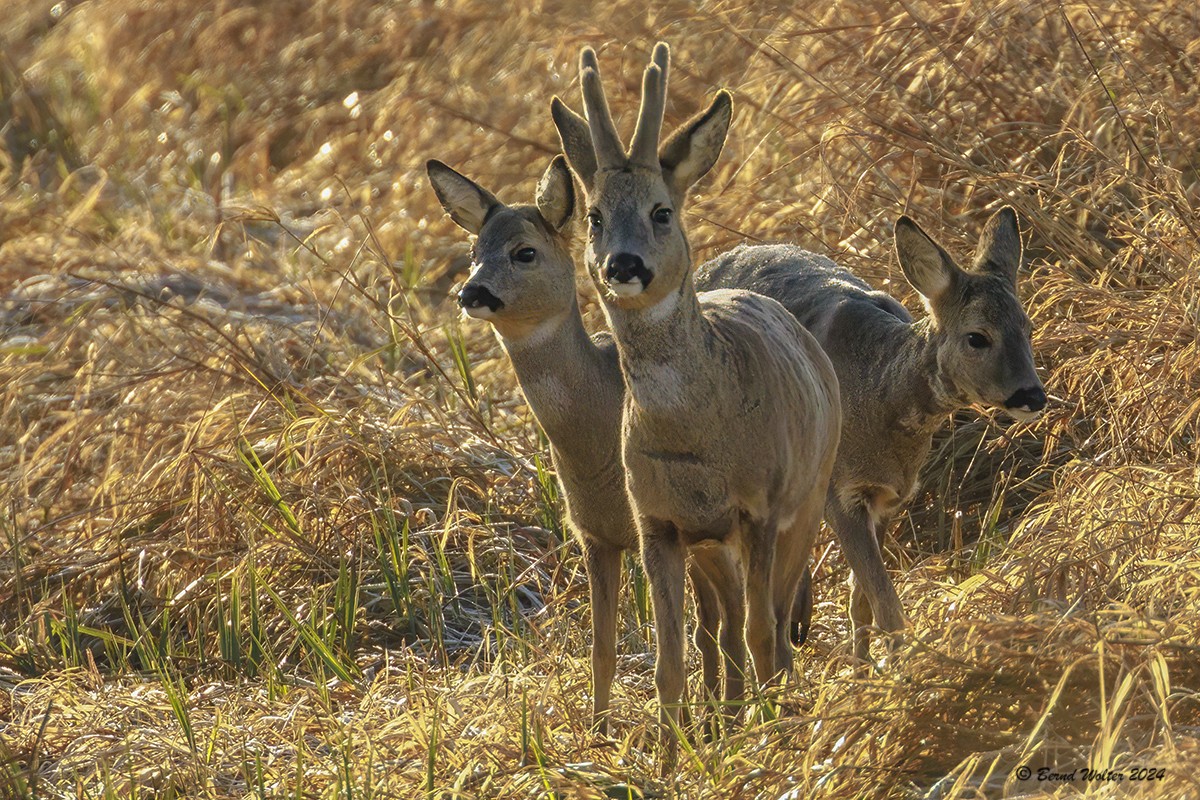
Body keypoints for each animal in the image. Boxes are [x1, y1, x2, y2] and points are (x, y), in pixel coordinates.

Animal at [425, 155, 752, 734]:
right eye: (473, 253)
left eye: (524, 251)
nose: (470, 294)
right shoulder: (594, 535)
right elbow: (602, 647)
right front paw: (598, 733)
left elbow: (695, 631)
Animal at [549, 42, 841, 746]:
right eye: (594, 216)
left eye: (662, 211)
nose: (624, 264)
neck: (695, 440)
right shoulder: (657, 523)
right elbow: (669, 662)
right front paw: (672, 753)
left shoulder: (761, 505)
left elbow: (763, 635)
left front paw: (766, 741)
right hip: (713, 547)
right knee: (729, 629)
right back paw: (730, 715)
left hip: (807, 500)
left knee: (773, 628)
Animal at [694, 207, 1046, 665]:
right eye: (977, 337)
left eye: (1027, 326)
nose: (1032, 395)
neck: (879, 392)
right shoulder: (839, 493)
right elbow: (885, 602)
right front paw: (899, 668)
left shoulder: (887, 497)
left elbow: (860, 601)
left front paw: (866, 667)